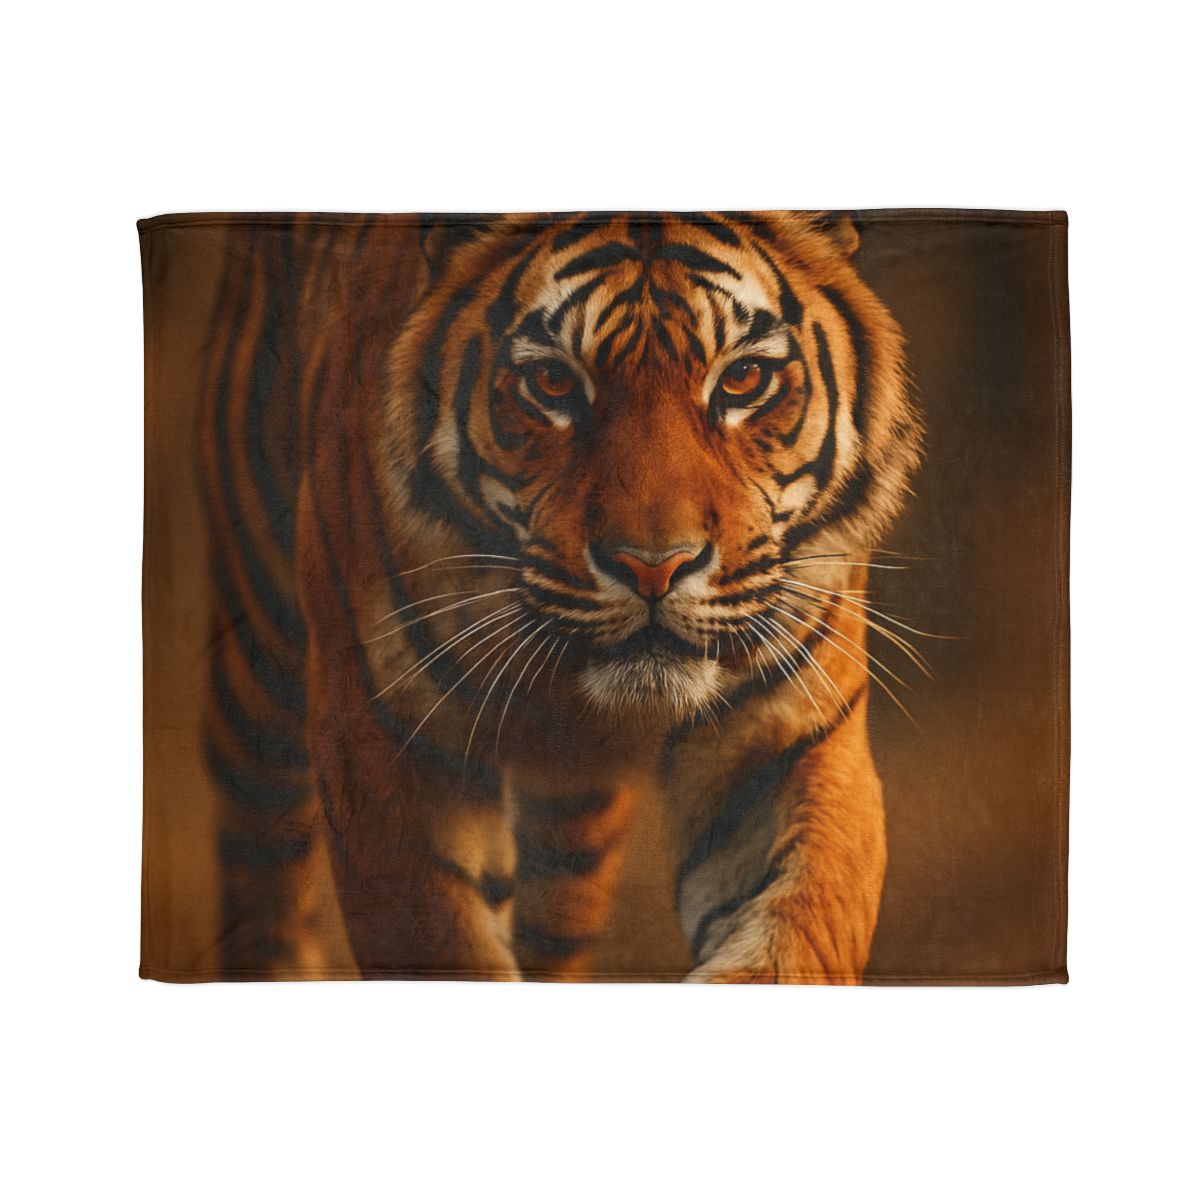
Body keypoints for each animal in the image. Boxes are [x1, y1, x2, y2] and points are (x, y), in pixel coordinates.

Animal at [200, 210, 922, 982]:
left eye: (743, 377)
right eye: (552, 382)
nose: (653, 567)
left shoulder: (790, 741)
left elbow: (792, 941)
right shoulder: (388, 742)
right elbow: (443, 943)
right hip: (259, 665)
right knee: (262, 860)